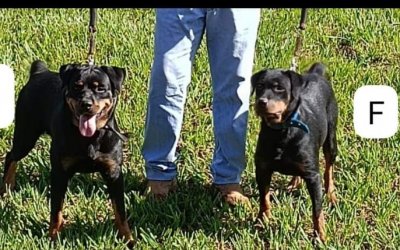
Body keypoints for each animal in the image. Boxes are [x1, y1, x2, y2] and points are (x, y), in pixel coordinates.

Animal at [0, 60, 134, 246]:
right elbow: (56, 211)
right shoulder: (59, 172)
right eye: (77, 87)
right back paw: (6, 188)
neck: (90, 138)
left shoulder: (113, 173)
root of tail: (39, 72)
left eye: (101, 88)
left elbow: (120, 212)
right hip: (26, 134)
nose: (86, 104)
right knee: (11, 156)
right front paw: (53, 238)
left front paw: (128, 239)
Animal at [252, 62, 340, 242]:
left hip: (331, 139)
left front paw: (320, 235)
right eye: (259, 86)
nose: (261, 102)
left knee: (328, 170)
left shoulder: (313, 176)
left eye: (279, 88)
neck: (281, 131)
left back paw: (331, 196)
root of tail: (315, 73)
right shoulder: (262, 169)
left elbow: (317, 210)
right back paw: (294, 183)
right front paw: (262, 221)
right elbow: (264, 199)